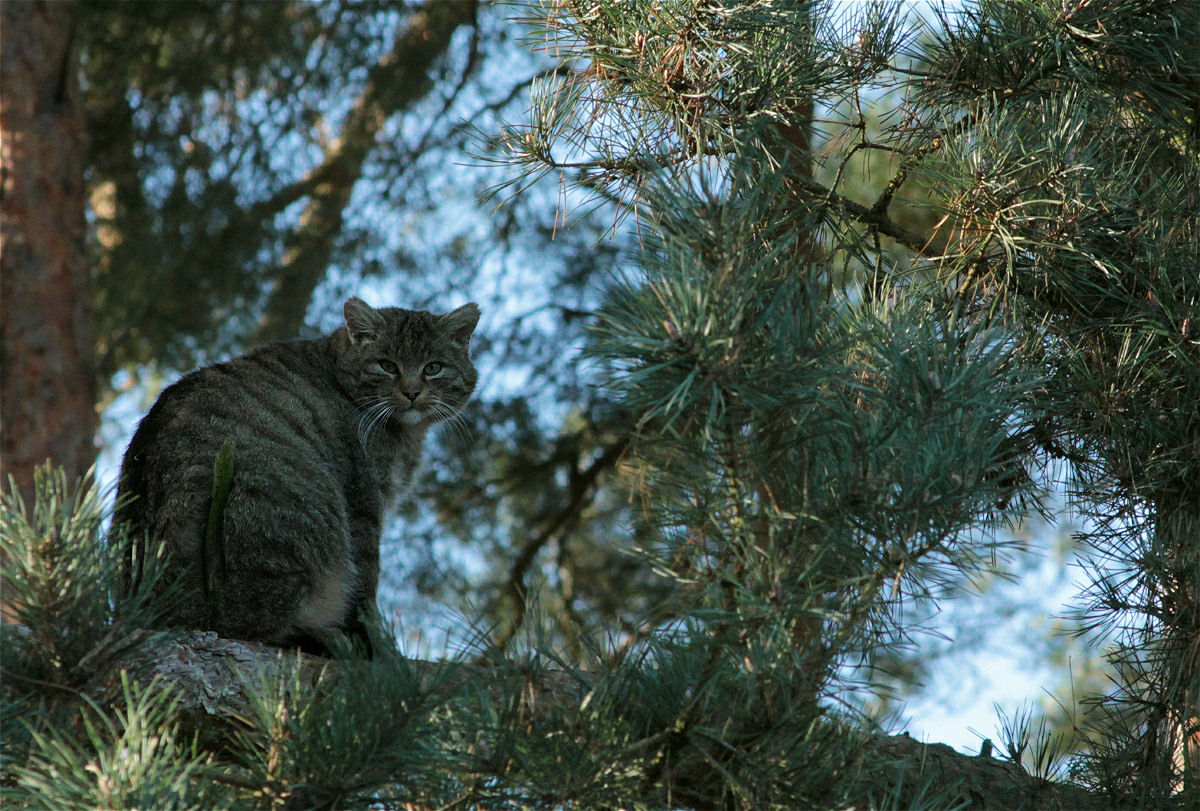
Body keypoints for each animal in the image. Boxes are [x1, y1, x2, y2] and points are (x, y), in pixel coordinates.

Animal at [114, 295, 480, 657]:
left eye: (433, 368)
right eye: (387, 365)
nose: (412, 392)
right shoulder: (363, 502)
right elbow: (365, 584)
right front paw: (378, 646)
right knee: (254, 622)